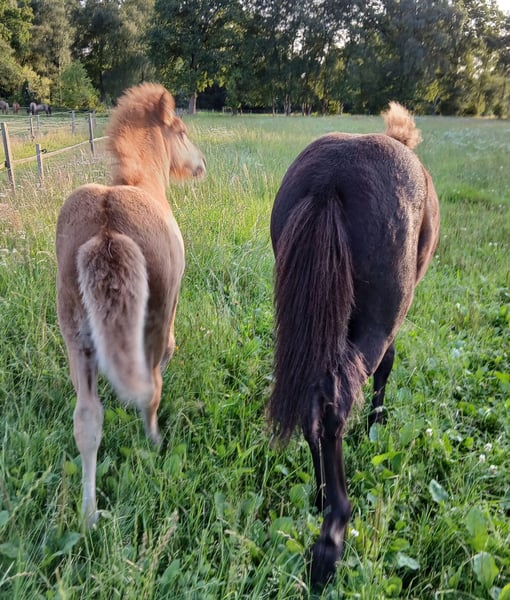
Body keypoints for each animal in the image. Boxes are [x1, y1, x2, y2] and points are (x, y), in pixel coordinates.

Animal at [56, 83, 206, 528]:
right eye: (181, 130)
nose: (200, 165)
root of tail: (107, 230)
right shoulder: (170, 307)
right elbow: (169, 351)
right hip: (151, 320)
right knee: (151, 388)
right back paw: (155, 441)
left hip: (76, 334)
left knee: (87, 418)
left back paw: (89, 513)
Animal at [269, 102, 440, 585]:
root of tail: (332, 178)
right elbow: (387, 366)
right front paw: (376, 422)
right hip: (377, 323)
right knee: (334, 403)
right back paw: (332, 538)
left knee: (313, 402)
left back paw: (321, 495)